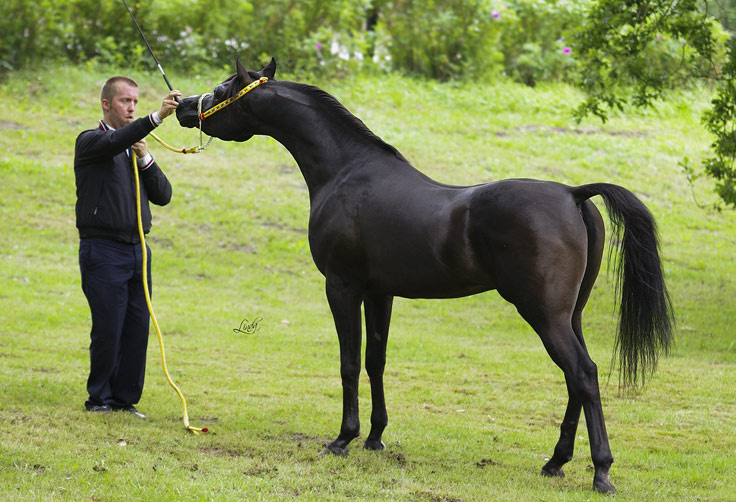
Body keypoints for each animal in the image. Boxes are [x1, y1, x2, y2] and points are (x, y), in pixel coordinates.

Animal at [177, 59, 672, 494]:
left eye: (220, 89)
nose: (183, 106)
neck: (346, 172)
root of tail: (573, 194)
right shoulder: (380, 294)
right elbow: (375, 360)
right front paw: (375, 437)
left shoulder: (342, 287)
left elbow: (349, 362)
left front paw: (343, 439)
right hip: (571, 315)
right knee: (577, 379)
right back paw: (555, 462)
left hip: (544, 315)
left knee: (583, 374)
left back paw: (601, 471)